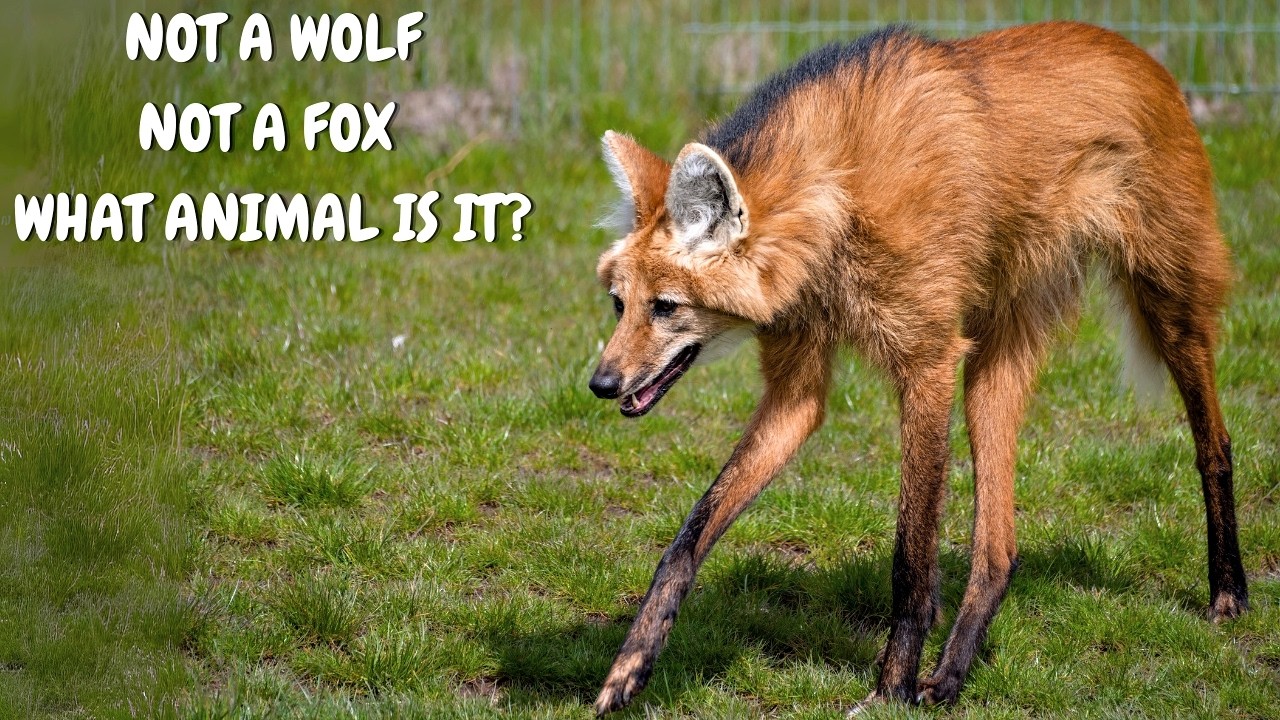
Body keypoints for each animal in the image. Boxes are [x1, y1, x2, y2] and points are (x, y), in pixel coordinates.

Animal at [587, 21, 1247, 714]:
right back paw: (953, 673)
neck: (838, 199)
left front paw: (890, 689)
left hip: (1169, 304)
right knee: (998, 547)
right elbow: (689, 536)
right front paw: (630, 665)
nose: (600, 384)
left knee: (1214, 440)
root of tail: (1144, 55)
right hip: (991, 364)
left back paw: (1229, 592)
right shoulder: (798, 389)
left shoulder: (928, 362)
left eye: (666, 307)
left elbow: (911, 559)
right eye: (619, 303)